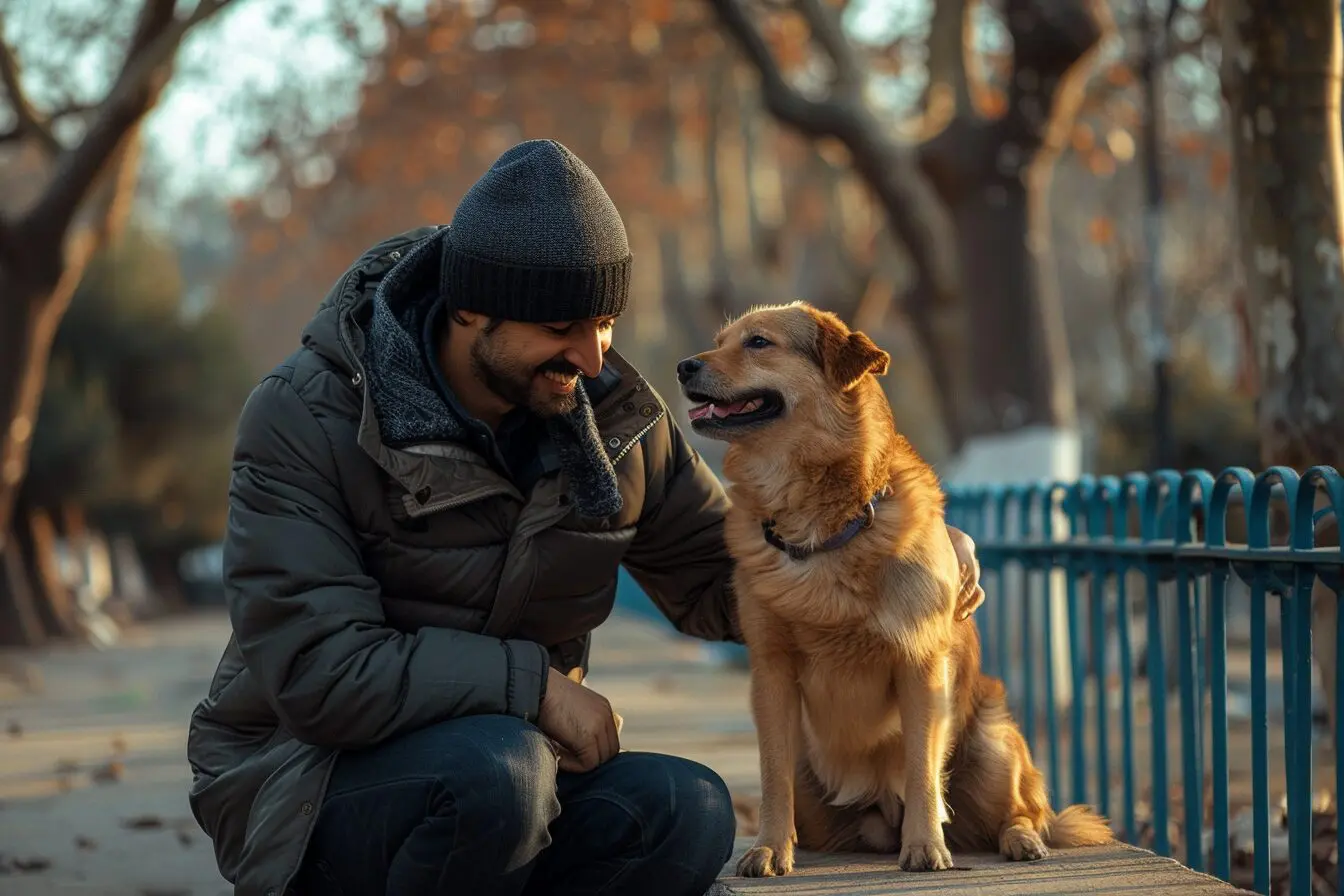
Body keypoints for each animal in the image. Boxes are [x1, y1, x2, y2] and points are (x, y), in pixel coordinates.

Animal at [672, 300, 1112, 875]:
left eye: (758, 342)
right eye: (720, 340)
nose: (684, 367)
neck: (822, 522)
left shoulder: (920, 664)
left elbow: (922, 768)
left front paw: (924, 845)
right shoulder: (770, 672)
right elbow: (772, 775)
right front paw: (769, 847)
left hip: (993, 744)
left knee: (1022, 812)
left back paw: (1018, 839)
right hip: (816, 786)